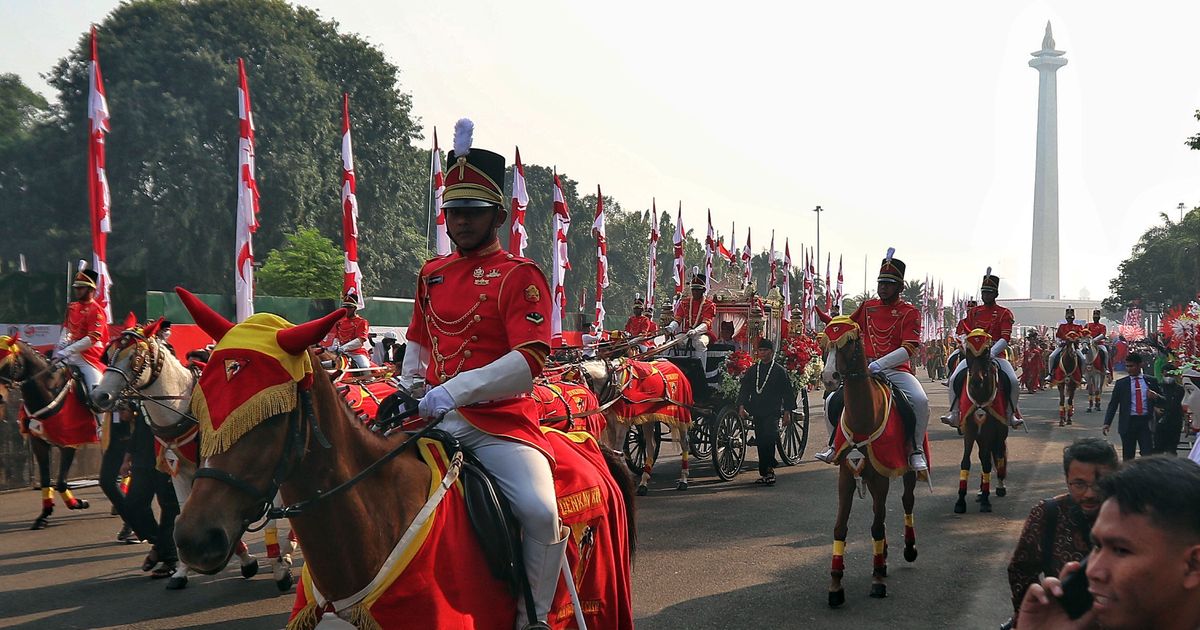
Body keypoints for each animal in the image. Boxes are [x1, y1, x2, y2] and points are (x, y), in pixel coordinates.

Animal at [0, 336, 97, 528]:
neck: (51, 390)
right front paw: (43, 516)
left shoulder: (69, 443)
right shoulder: (39, 443)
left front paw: (77, 503)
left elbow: (61, 482)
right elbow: (46, 479)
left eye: (8, 363)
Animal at [90, 321, 294, 592]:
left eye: (135, 357)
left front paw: (279, 568)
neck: (181, 409)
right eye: (109, 353)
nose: (99, 396)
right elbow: (182, 514)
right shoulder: (182, 471)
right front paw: (184, 571)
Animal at [820, 316, 921, 607]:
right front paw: (835, 585)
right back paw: (883, 557)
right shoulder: (845, 477)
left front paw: (877, 581)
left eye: (850, 342)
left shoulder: (880, 477)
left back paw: (906, 549)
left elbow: (876, 525)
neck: (863, 418)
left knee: (905, 502)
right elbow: (840, 527)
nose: (829, 378)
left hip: (904, 470)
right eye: (825, 342)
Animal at [950, 328, 1008, 511]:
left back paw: (998, 487)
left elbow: (988, 463)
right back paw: (982, 491)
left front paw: (986, 501)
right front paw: (960, 500)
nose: (976, 380)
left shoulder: (989, 430)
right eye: (968, 351)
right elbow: (965, 462)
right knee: (985, 456)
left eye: (987, 351)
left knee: (998, 455)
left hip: (998, 433)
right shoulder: (969, 430)